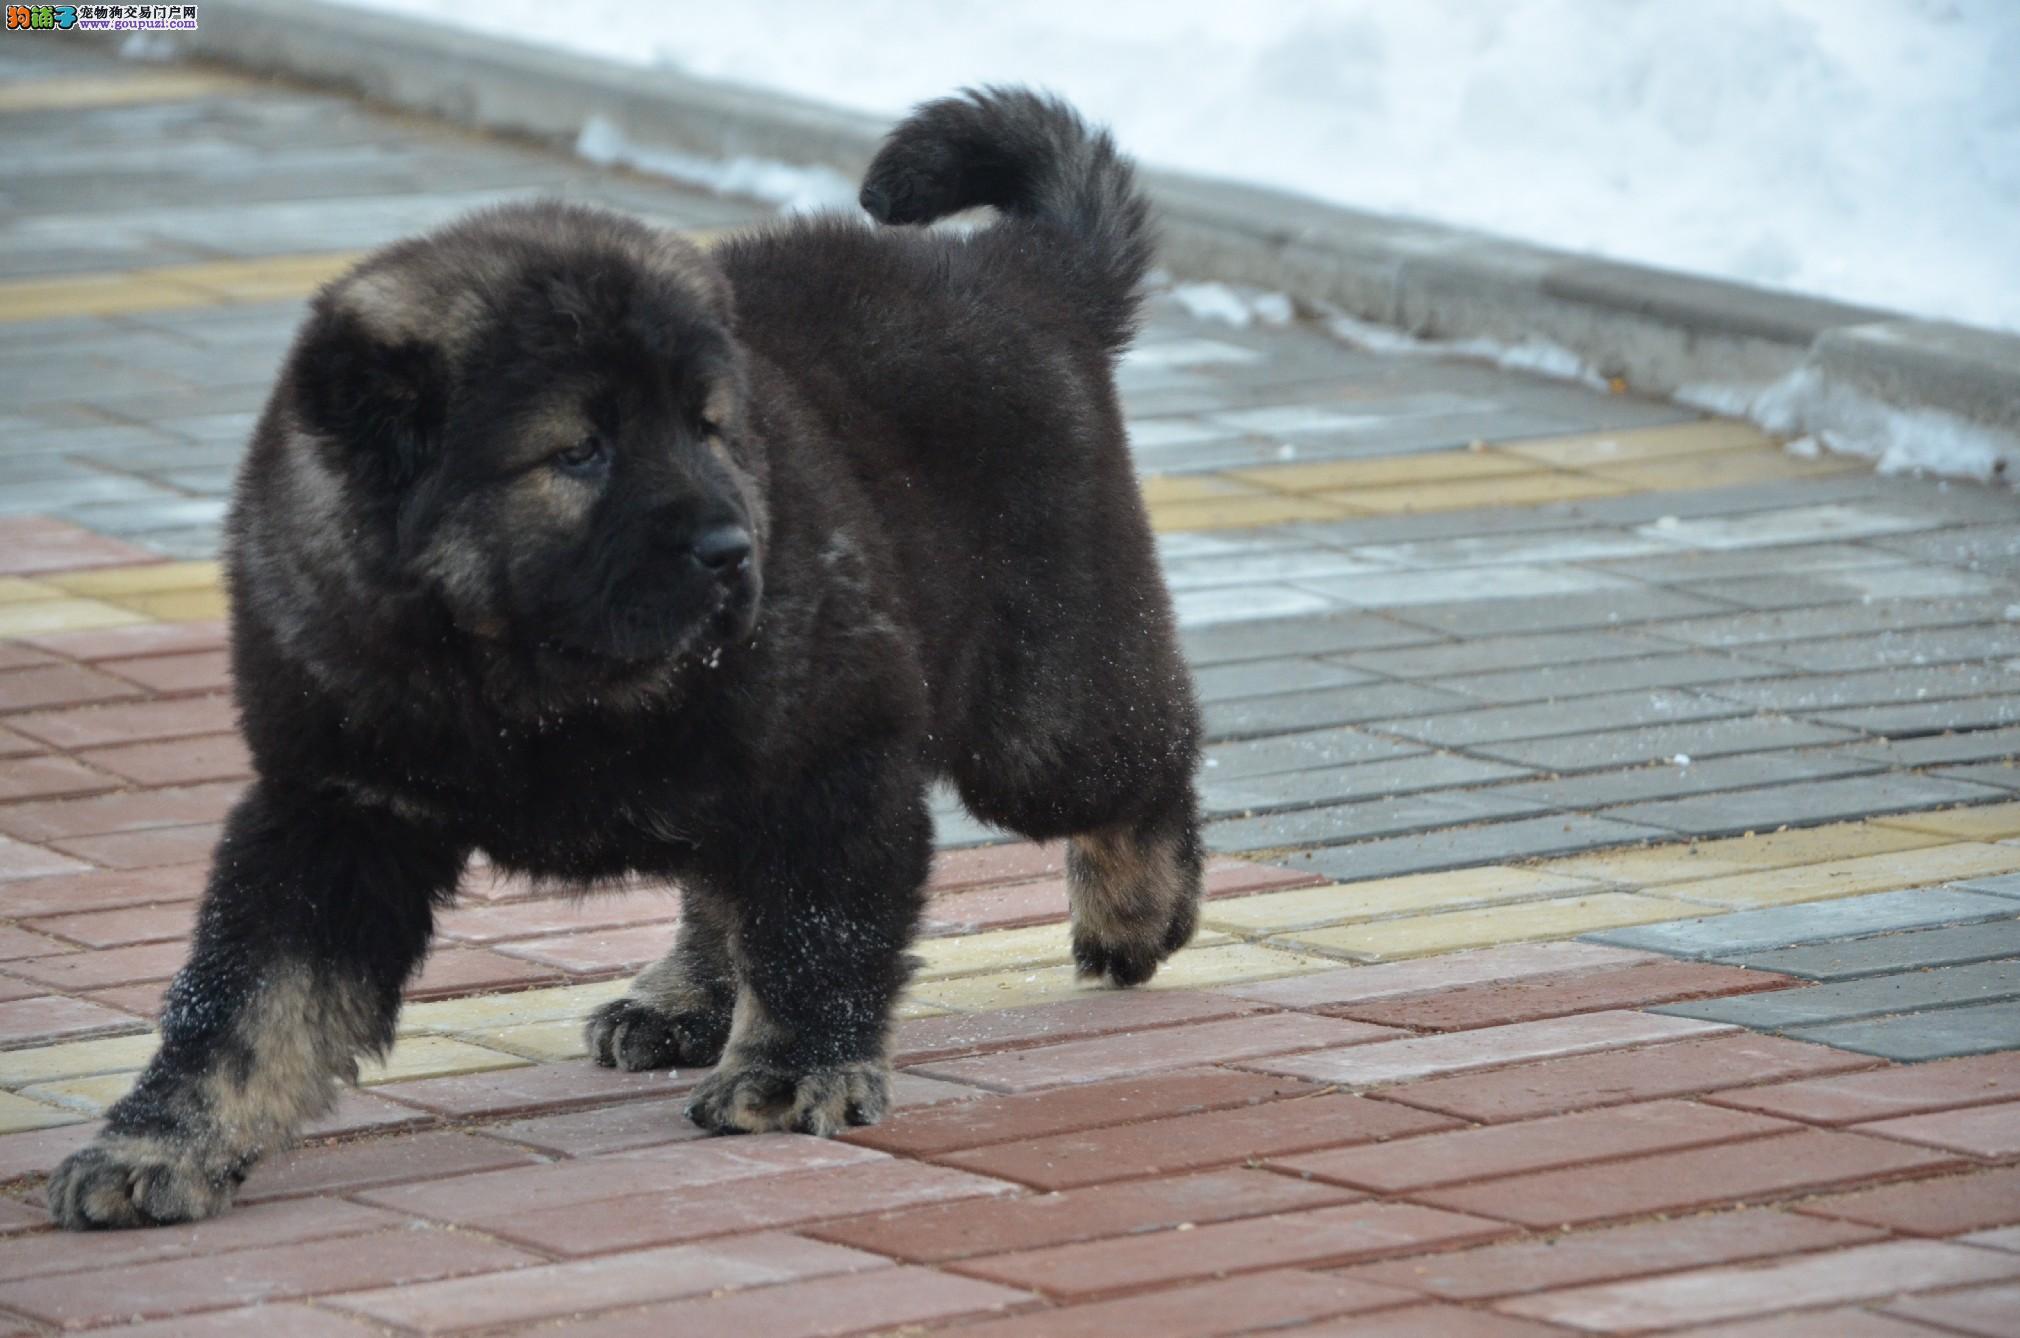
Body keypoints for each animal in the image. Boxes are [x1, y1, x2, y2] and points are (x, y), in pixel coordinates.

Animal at [43, 88, 1195, 1228]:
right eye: (580, 452)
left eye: (708, 429)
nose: (732, 550)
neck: (527, 680)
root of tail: (1021, 268)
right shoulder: (336, 803)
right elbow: (247, 998)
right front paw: (157, 1143)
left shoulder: (831, 754)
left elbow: (817, 925)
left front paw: (790, 1073)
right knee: (724, 883)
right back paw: (682, 1000)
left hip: (1032, 717)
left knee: (1148, 748)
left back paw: (1137, 907)